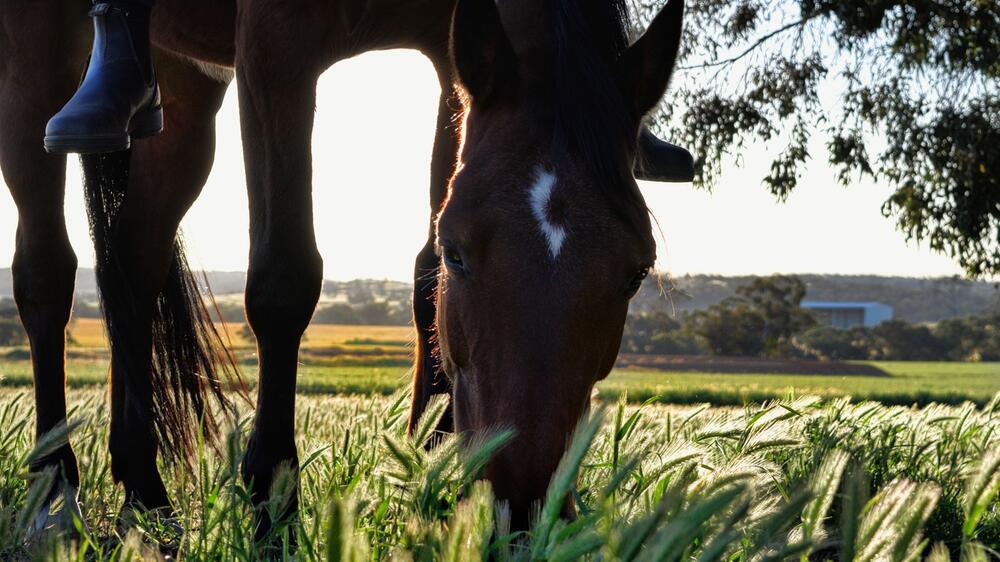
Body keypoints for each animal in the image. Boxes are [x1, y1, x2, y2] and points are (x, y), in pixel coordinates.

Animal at [0, 0, 688, 540]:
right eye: (460, 252)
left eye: (636, 272)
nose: (522, 509)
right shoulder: (276, 44)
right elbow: (284, 277)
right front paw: (272, 504)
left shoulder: (450, 59)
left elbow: (423, 276)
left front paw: (433, 474)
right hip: (37, 49)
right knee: (46, 274)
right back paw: (54, 492)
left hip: (183, 85)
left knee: (132, 262)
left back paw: (143, 494)